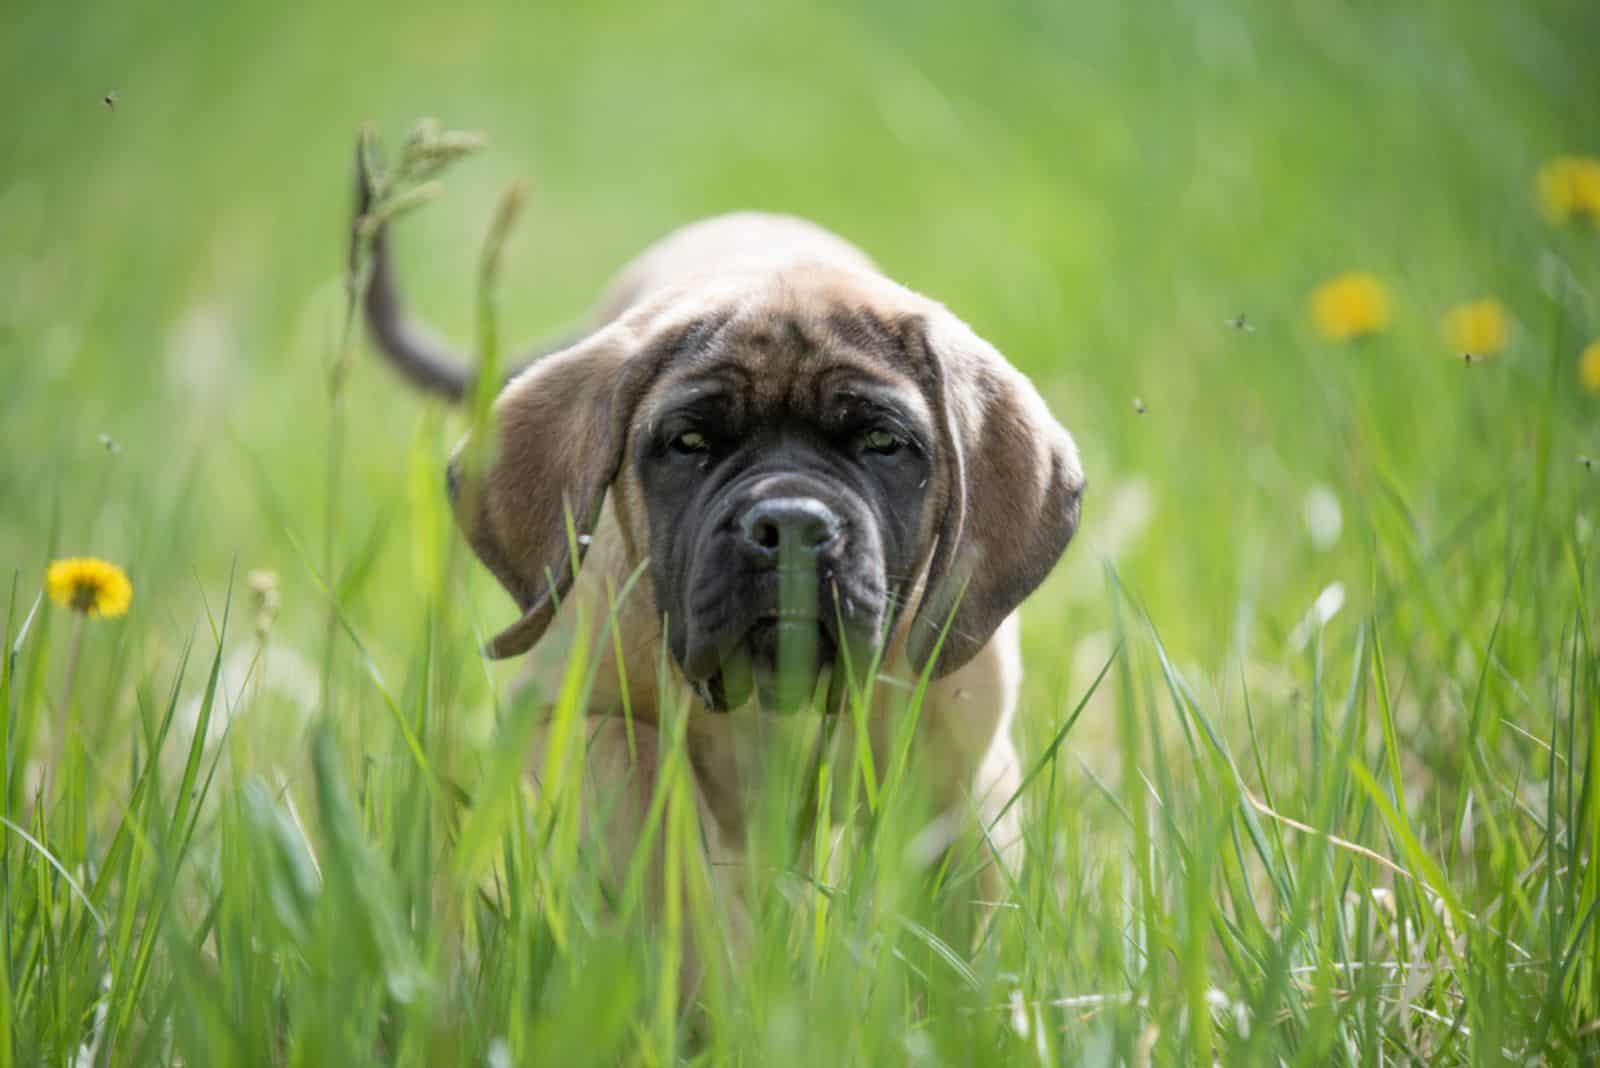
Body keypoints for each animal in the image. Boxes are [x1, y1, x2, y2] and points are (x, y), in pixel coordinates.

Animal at [352, 158, 1088, 933]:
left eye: (883, 443)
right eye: (689, 442)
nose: (790, 523)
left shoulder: (962, 778)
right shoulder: (588, 720)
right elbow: (666, 855)